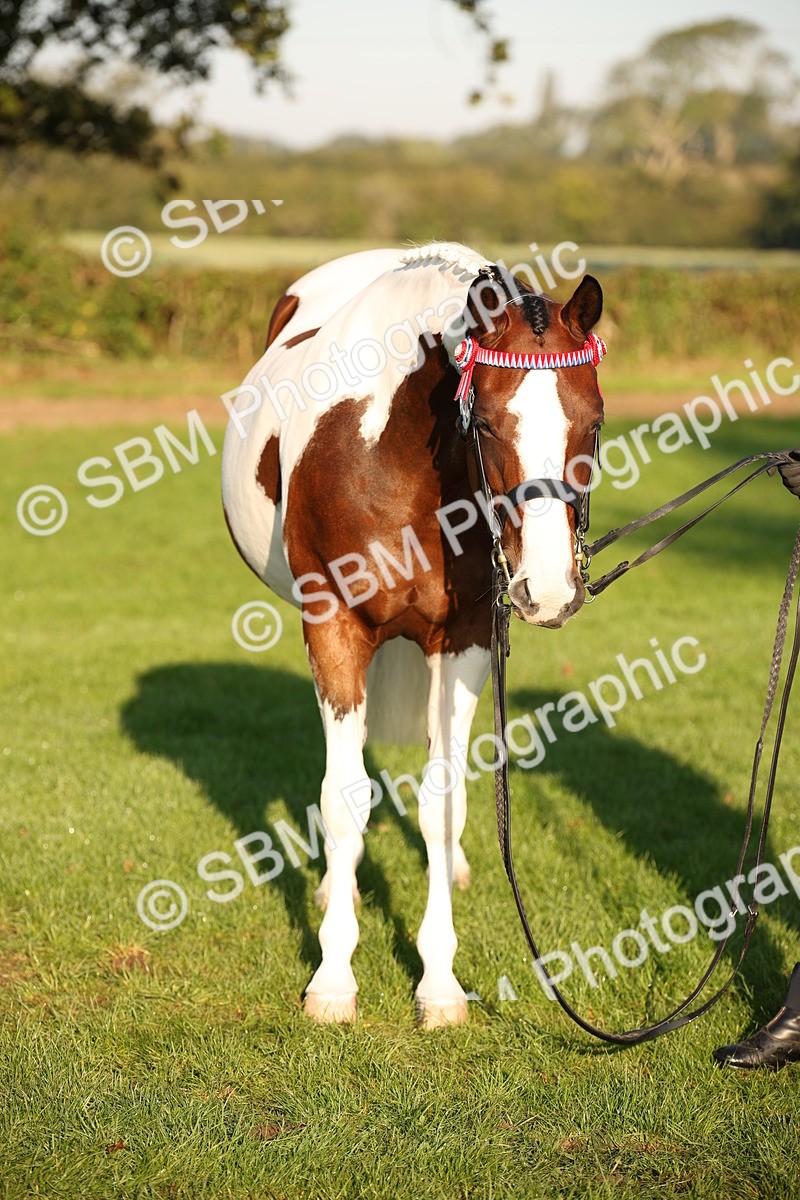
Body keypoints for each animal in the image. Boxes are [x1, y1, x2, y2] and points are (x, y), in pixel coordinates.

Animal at [221, 242, 605, 1028]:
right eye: (484, 424)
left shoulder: (467, 638)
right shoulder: (333, 625)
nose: (550, 588)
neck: (388, 453)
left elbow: (440, 801)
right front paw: (333, 977)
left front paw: (439, 981)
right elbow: (344, 798)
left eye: (595, 422)